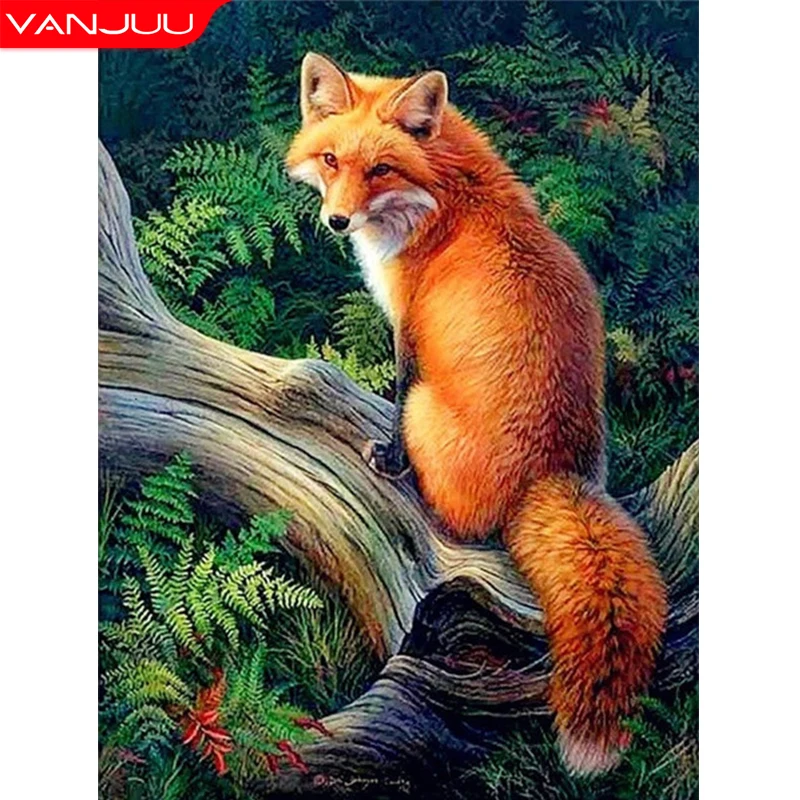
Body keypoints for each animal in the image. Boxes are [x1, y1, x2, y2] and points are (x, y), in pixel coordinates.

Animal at [286, 52, 667, 775]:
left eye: (381, 169)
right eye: (331, 159)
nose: (337, 222)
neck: (450, 195)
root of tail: (554, 473)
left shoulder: (408, 328)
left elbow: (396, 392)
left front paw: (388, 458)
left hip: (431, 412)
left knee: (453, 518)